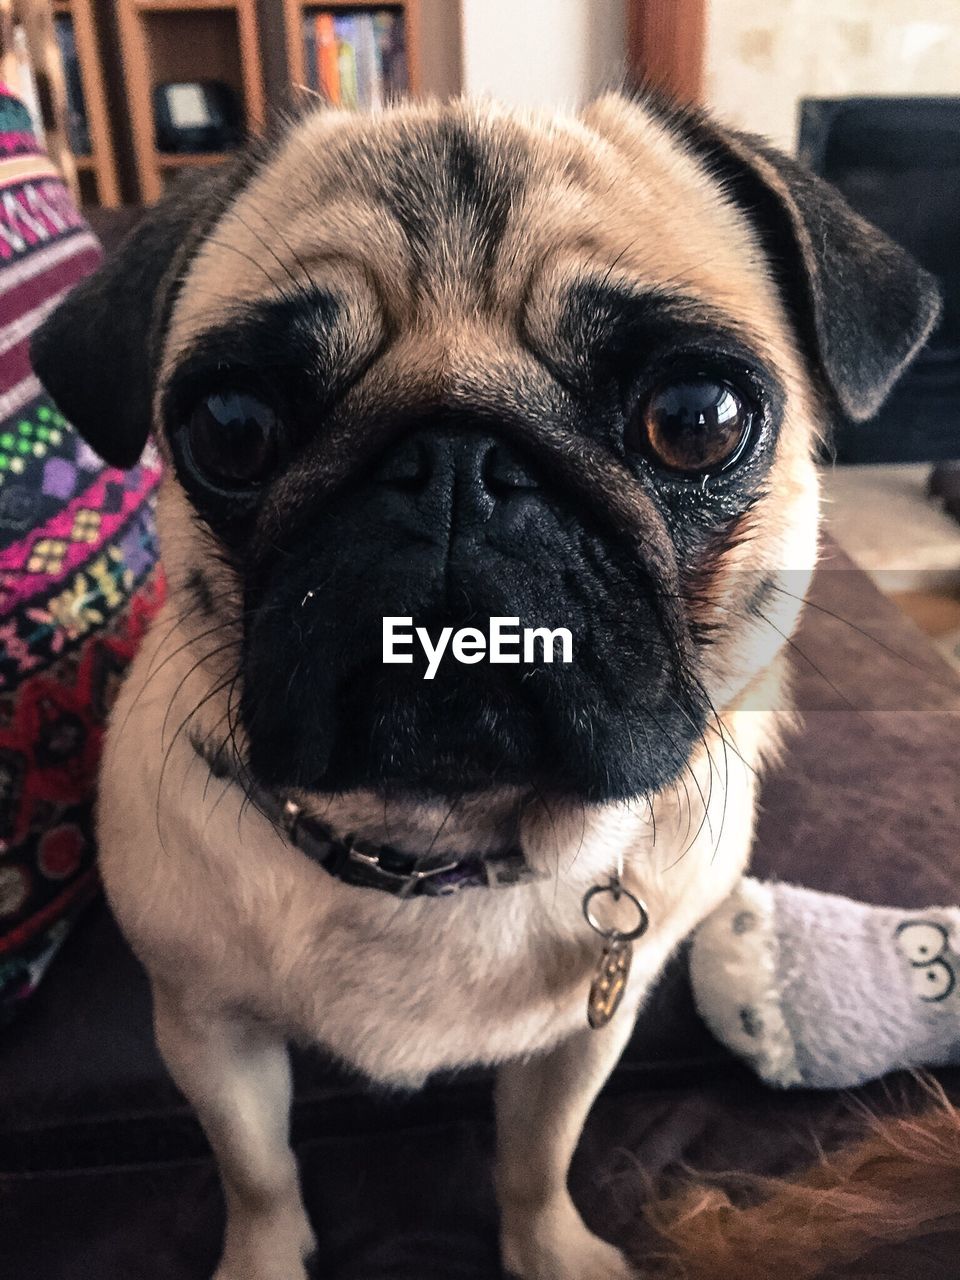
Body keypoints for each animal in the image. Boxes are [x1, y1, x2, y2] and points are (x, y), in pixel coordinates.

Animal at [32, 92, 942, 1280]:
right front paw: (265, 1257)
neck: (435, 850)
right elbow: (258, 1173)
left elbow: (537, 1155)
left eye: (696, 417)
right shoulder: (206, 1030)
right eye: (233, 430)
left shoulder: (586, 1030)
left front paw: (552, 1249)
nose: (456, 464)